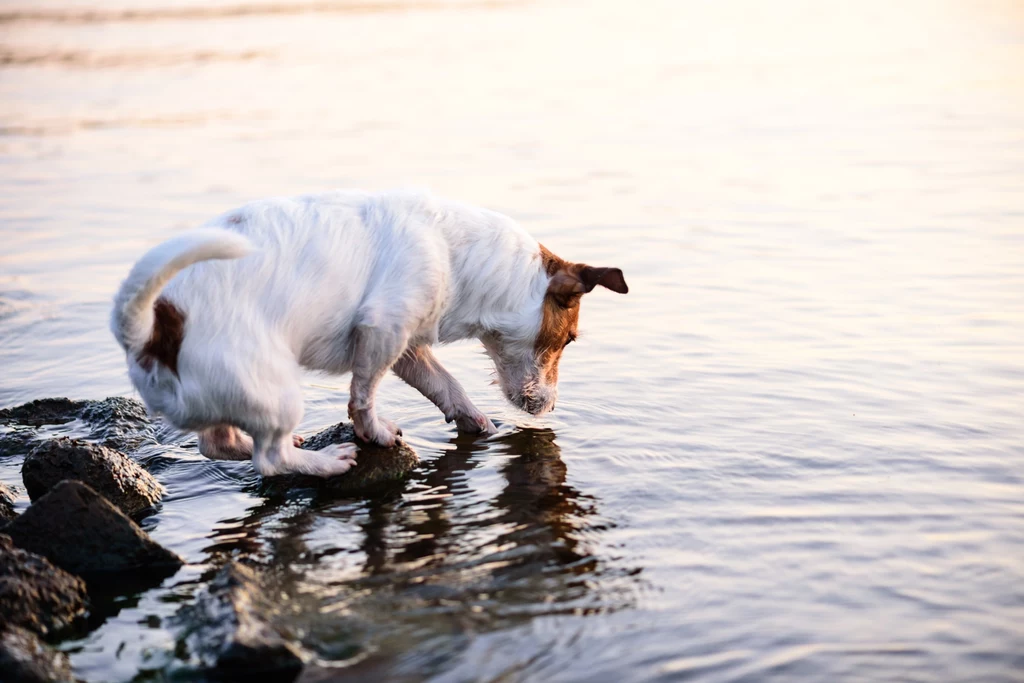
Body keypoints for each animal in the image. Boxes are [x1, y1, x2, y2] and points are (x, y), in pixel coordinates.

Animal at [108, 189, 626, 479]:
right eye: (569, 340)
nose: (552, 409)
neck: (455, 251)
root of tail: (153, 330)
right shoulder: (382, 328)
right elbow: (362, 396)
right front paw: (373, 432)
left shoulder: (408, 347)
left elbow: (447, 386)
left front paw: (479, 424)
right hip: (277, 389)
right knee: (269, 459)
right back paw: (324, 462)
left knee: (218, 443)